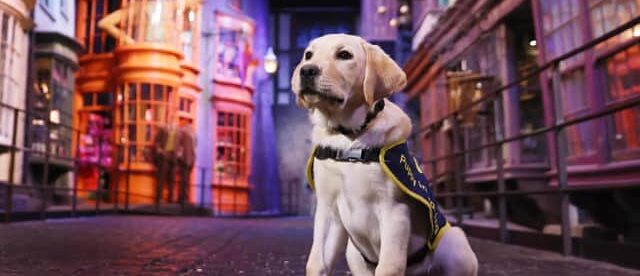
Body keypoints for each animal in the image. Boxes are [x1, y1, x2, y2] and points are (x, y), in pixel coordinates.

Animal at [292, 33, 478, 274]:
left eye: (344, 55)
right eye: (308, 55)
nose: (307, 70)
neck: (350, 138)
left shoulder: (394, 210)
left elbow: (389, 266)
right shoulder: (328, 209)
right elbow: (316, 262)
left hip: (455, 243)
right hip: (353, 254)